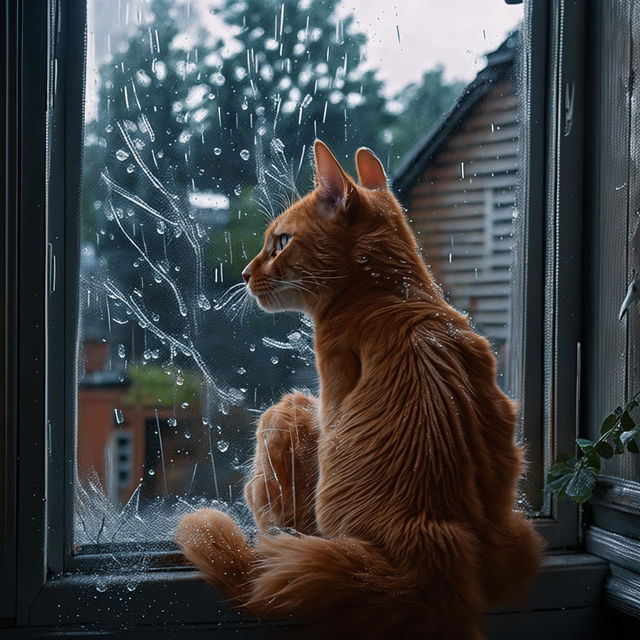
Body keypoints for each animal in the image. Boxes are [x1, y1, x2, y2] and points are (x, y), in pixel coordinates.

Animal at [176, 141, 544, 640]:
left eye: (282, 242)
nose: (247, 273)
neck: (396, 294)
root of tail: (429, 550)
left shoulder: (327, 398)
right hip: (522, 535)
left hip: (288, 415)